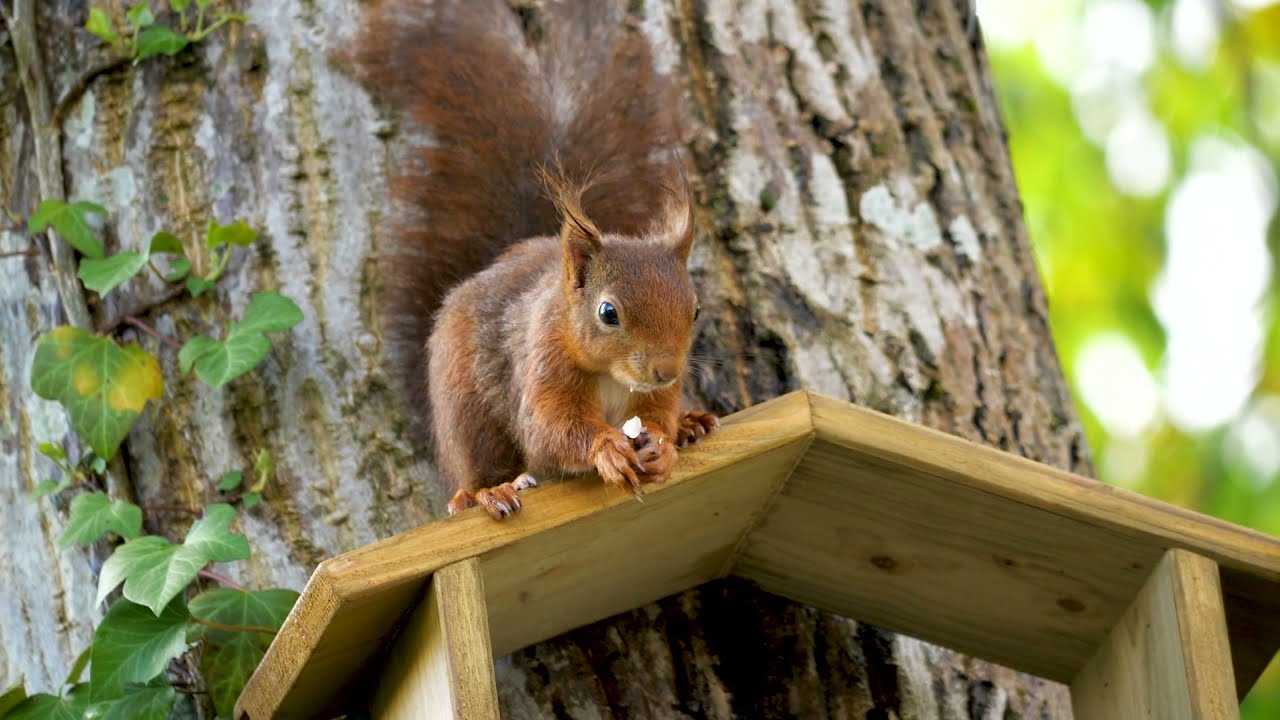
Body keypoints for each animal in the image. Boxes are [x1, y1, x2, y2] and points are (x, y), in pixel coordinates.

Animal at [353, 0, 719, 520]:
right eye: (608, 313)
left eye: (695, 309)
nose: (667, 371)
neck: (611, 375)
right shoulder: (543, 361)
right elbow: (550, 430)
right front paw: (607, 448)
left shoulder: (653, 395)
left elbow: (654, 417)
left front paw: (664, 444)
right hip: (467, 408)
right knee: (481, 463)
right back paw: (487, 492)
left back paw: (691, 425)